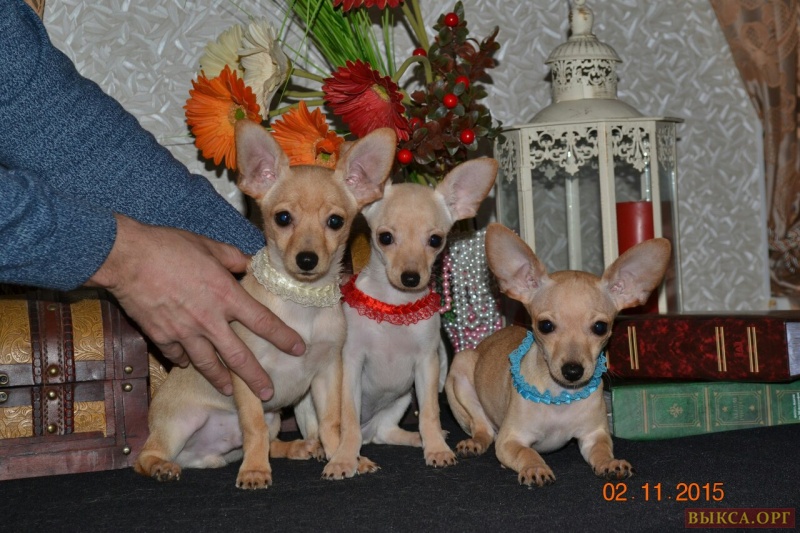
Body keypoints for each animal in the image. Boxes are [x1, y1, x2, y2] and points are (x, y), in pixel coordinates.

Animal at [134, 121, 396, 488]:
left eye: (335, 222)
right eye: (282, 218)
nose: (306, 259)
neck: (301, 300)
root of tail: (198, 455)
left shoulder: (328, 374)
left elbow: (331, 423)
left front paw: (344, 458)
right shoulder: (248, 376)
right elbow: (253, 427)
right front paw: (256, 471)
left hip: (271, 419)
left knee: (269, 442)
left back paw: (300, 446)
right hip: (178, 425)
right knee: (145, 457)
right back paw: (162, 466)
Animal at [326, 158, 498, 475]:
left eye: (435, 240)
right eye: (385, 238)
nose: (410, 277)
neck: (395, 307)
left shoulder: (426, 366)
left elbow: (430, 413)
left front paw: (436, 448)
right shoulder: (352, 363)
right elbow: (348, 420)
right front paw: (344, 458)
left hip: (401, 398)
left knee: (385, 432)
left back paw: (418, 438)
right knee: (352, 430)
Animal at [444, 223, 671, 486]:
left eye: (600, 327)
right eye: (545, 326)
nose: (572, 371)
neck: (559, 396)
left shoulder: (593, 435)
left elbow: (602, 450)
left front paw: (610, 463)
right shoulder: (510, 440)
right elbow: (526, 452)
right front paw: (535, 467)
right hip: (461, 372)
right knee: (483, 429)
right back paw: (475, 443)